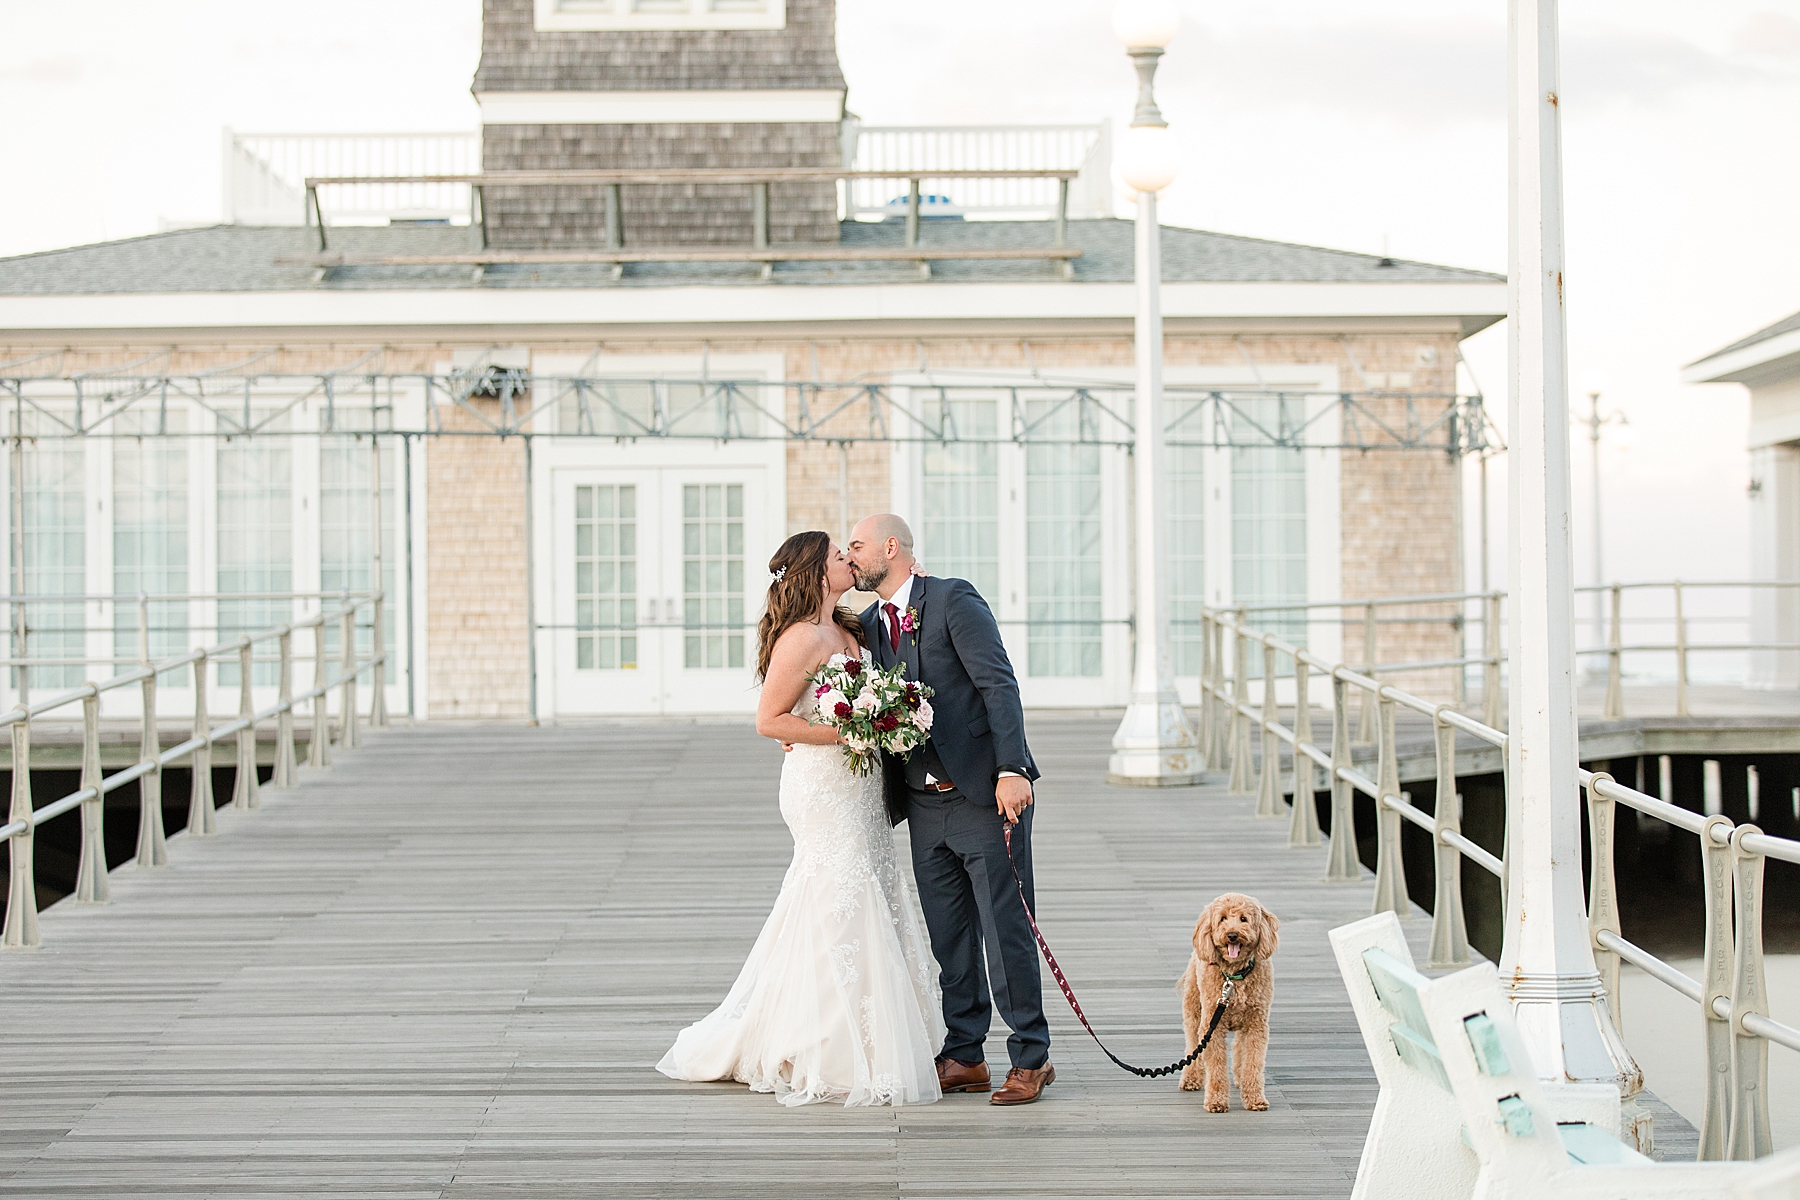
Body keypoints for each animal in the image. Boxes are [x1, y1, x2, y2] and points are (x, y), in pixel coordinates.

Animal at [1180, 895, 1281, 1115]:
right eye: (1223, 919)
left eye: (1243, 919)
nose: (1232, 935)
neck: (1234, 977)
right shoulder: (1212, 1027)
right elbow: (1216, 1067)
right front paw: (1216, 1102)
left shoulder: (1256, 1024)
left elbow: (1253, 1062)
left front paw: (1255, 1099)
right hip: (1194, 1008)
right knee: (1192, 1043)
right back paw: (1191, 1078)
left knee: (1238, 1047)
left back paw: (1240, 1078)